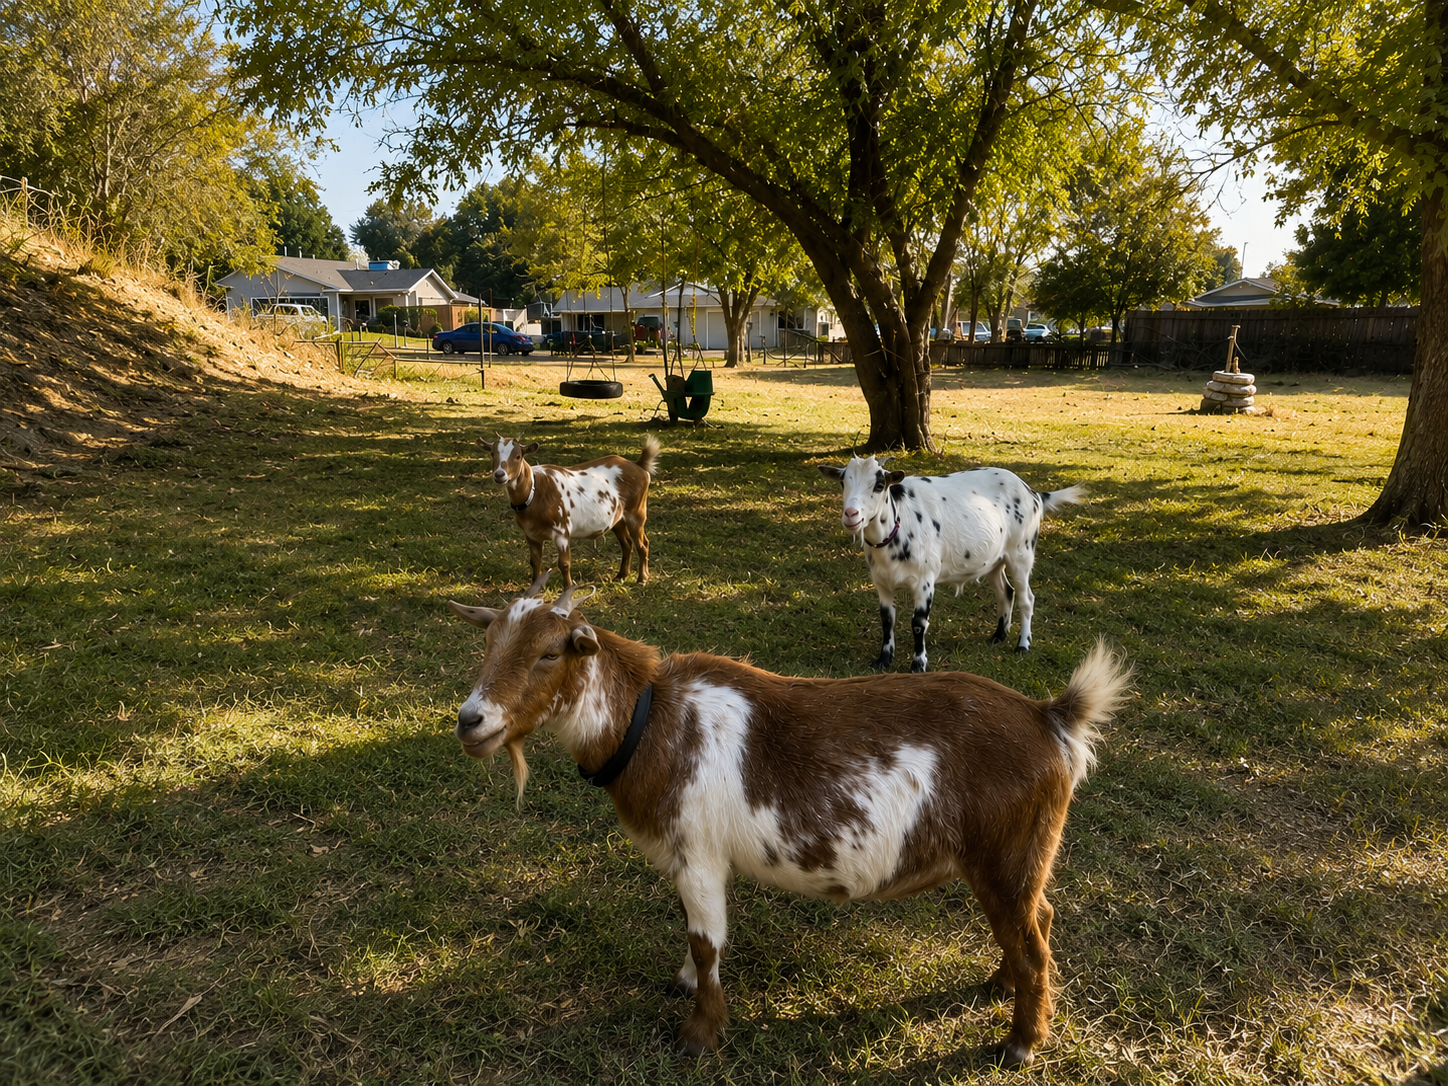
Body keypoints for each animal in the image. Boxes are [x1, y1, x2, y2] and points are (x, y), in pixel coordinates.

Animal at [448, 579, 1131, 1067]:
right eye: (487, 646)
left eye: (548, 653)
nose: (471, 721)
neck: (652, 720)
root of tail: (1051, 719)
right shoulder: (686, 859)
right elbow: (693, 936)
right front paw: (684, 983)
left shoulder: (699, 854)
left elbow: (707, 940)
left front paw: (698, 1036)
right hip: (1014, 862)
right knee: (1036, 920)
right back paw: (997, 984)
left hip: (1008, 856)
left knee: (1033, 943)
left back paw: (1021, 1043)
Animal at [486, 435, 659, 587]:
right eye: (492, 453)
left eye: (518, 456)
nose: (499, 474)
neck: (535, 492)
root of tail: (638, 465)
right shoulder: (531, 535)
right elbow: (534, 562)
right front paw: (533, 590)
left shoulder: (562, 531)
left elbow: (564, 563)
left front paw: (568, 588)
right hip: (618, 519)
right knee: (627, 544)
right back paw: (621, 576)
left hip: (636, 513)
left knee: (643, 544)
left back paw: (642, 579)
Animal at [818, 456, 1085, 670]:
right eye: (843, 482)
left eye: (879, 484)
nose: (851, 514)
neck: (899, 524)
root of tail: (1033, 493)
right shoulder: (881, 582)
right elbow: (887, 620)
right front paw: (883, 660)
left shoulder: (925, 580)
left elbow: (918, 623)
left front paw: (918, 665)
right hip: (994, 560)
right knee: (1005, 592)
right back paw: (998, 636)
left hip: (1022, 553)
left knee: (1026, 598)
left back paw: (1023, 645)